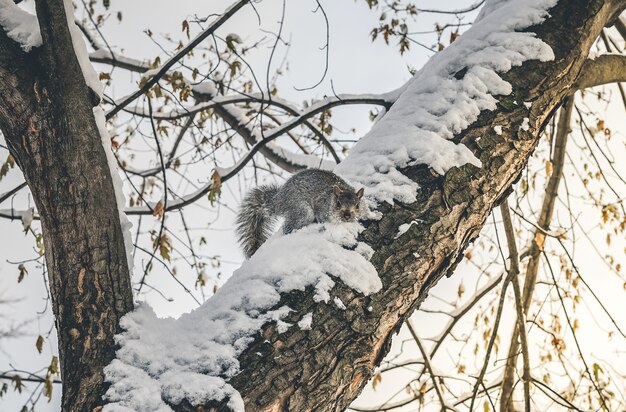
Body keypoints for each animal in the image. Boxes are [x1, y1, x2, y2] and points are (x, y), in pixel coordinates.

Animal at [234, 168, 364, 258]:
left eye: (357, 205)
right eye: (338, 204)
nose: (347, 215)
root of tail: (279, 199)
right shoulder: (320, 204)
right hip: (302, 210)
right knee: (288, 228)